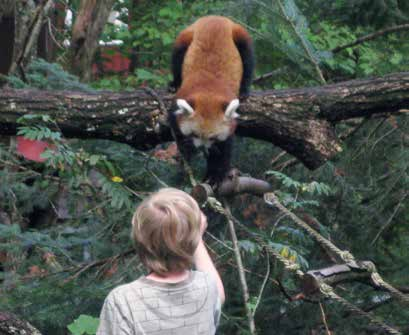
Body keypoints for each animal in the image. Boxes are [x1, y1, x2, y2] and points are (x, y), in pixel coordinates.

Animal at [168, 15, 252, 185]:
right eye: (194, 133)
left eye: (213, 137)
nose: (202, 147)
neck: (209, 91)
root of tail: (216, 17)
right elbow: (179, 135)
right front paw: (185, 156)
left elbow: (223, 150)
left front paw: (214, 175)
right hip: (186, 35)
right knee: (177, 56)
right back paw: (174, 83)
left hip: (240, 35)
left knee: (248, 58)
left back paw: (244, 90)